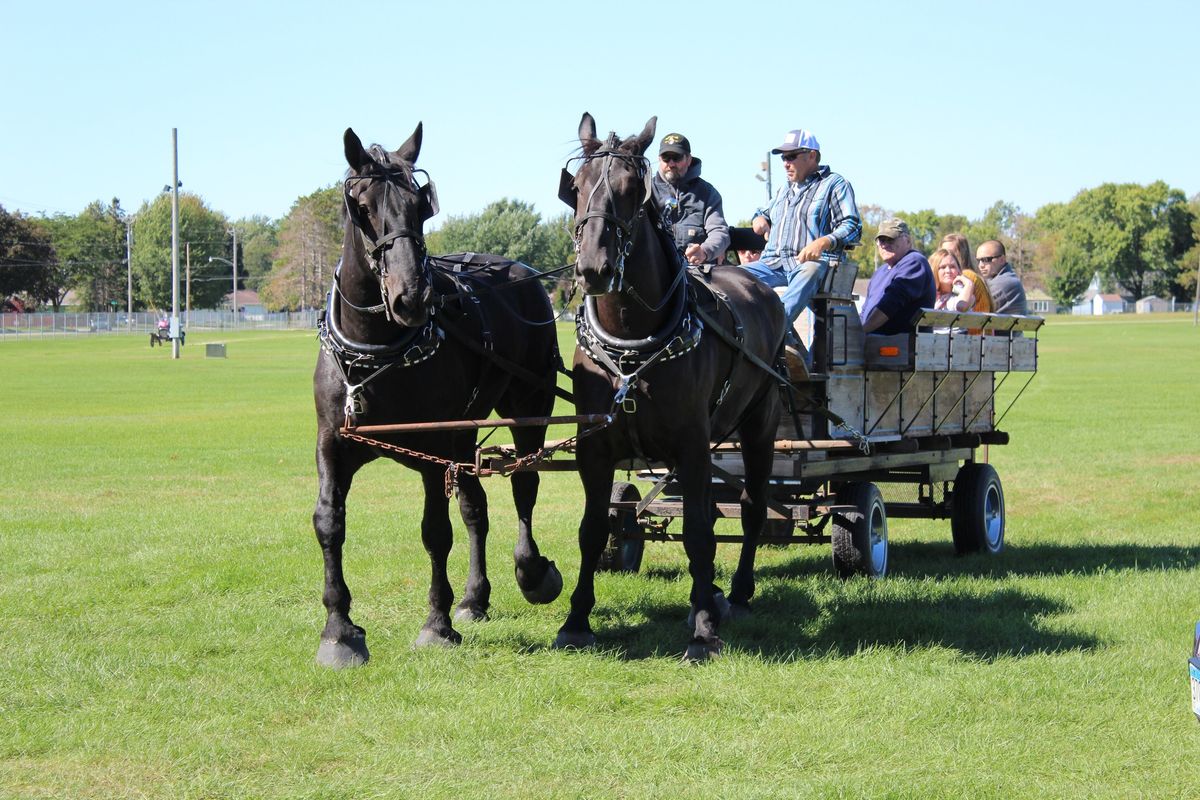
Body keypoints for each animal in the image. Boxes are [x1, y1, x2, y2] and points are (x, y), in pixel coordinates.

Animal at [314, 123, 566, 662]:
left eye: (420, 203)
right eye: (361, 205)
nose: (412, 296)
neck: (375, 351)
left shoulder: (431, 446)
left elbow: (435, 531)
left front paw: (436, 623)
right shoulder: (332, 442)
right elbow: (329, 523)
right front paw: (339, 630)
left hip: (528, 406)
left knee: (524, 484)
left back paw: (531, 570)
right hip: (464, 432)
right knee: (475, 506)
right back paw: (474, 597)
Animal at [554, 113, 787, 662]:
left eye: (631, 190)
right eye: (576, 187)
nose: (593, 267)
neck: (631, 346)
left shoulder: (692, 444)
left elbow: (699, 532)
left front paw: (703, 630)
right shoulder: (595, 449)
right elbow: (593, 529)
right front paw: (576, 620)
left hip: (759, 425)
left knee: (750, 509)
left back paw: (737, 594)